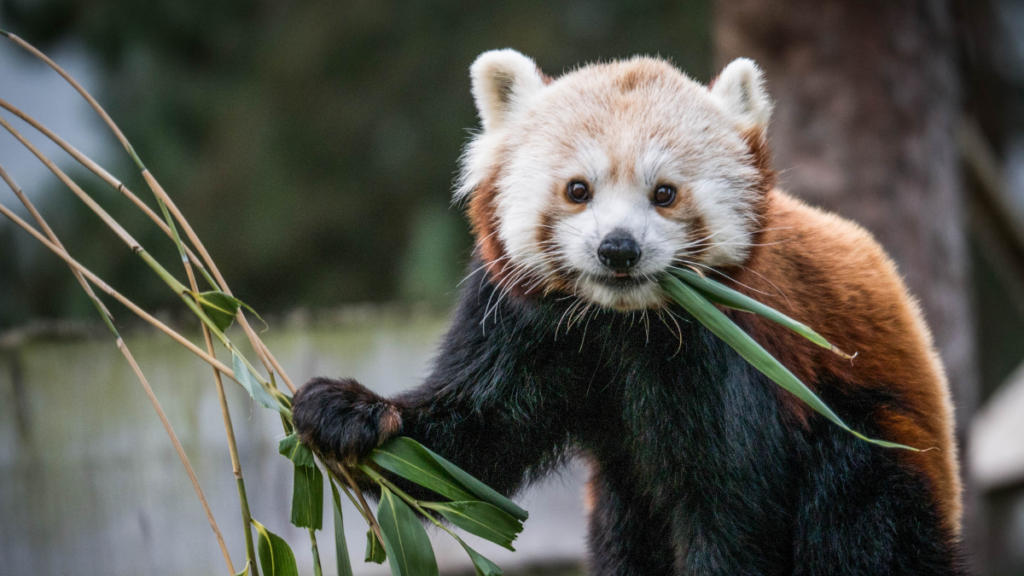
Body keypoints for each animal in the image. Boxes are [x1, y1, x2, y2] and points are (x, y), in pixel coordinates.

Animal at [292, 50, 962, 573]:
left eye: (664, 194)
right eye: (577, 190)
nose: (618, 249)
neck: (622, 324)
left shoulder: (737, 359)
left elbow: (731, 511)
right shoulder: (518, 321)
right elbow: (470, 444)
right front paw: (348, 414)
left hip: (883, 454)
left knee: (860, 515)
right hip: (619, 504)